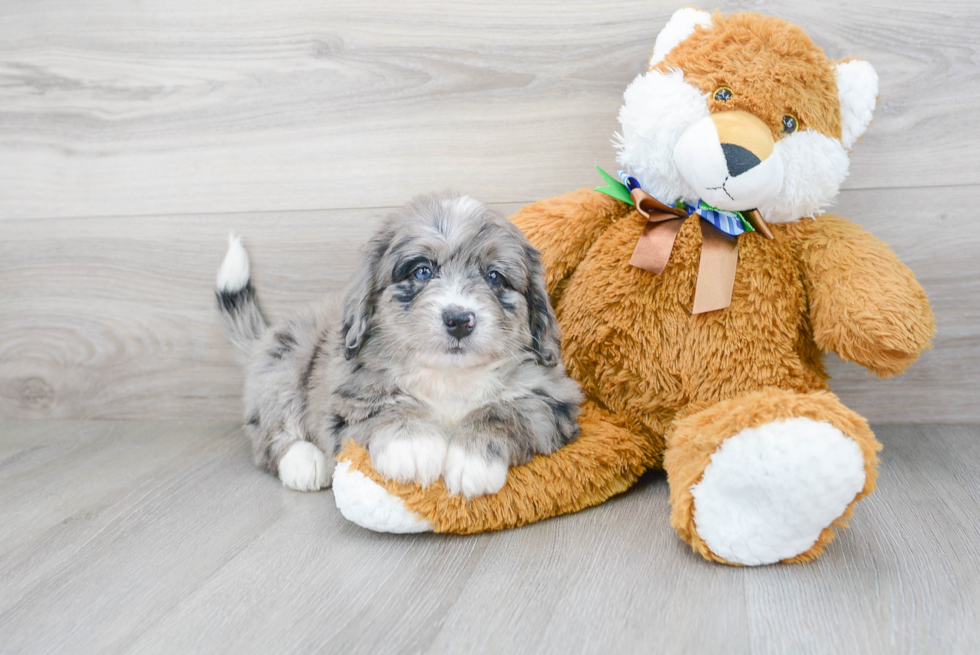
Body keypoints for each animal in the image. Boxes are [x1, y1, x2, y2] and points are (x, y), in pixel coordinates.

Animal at [216, 192, 580, 500]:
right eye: (422, 271)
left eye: (494, 277)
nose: (459, 320)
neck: (449, 376)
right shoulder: (349, 395)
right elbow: (387, 408)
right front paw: (414, 446)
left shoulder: (551, 396)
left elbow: (502, 411)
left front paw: (471, 461)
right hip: (284, 364)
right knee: (269, 434)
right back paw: (305, 462)